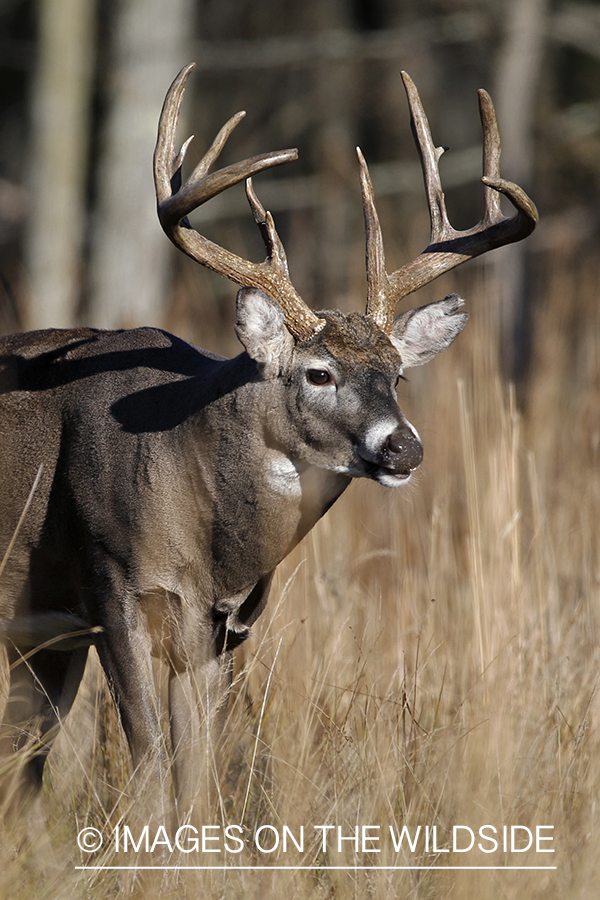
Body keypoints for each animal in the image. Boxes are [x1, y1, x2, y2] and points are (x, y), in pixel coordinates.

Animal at [0, 65, 540, 824]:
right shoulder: (115, 592)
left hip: (39, 637)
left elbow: (196, 776)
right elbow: (149, 772)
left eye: (398, 374)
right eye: (318, 372)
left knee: (22, 766)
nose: (403, 449)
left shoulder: (223, 631)